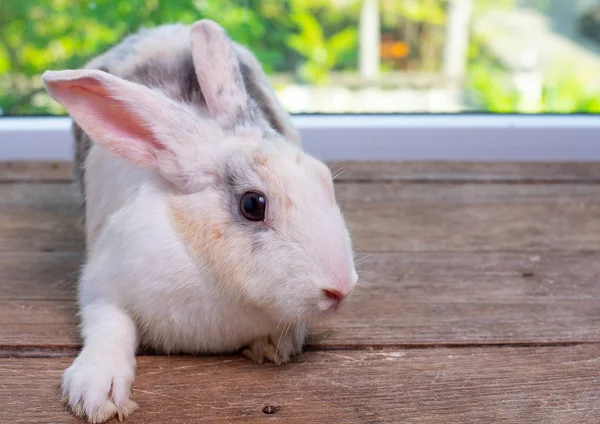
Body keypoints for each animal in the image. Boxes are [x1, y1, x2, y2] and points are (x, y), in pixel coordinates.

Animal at [43, 18, 360, 422]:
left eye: (323, 177)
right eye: (253, 204)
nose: (341, 288)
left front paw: (273, 343)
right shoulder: (100, 286)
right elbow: (109, 326)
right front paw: (98, 393)